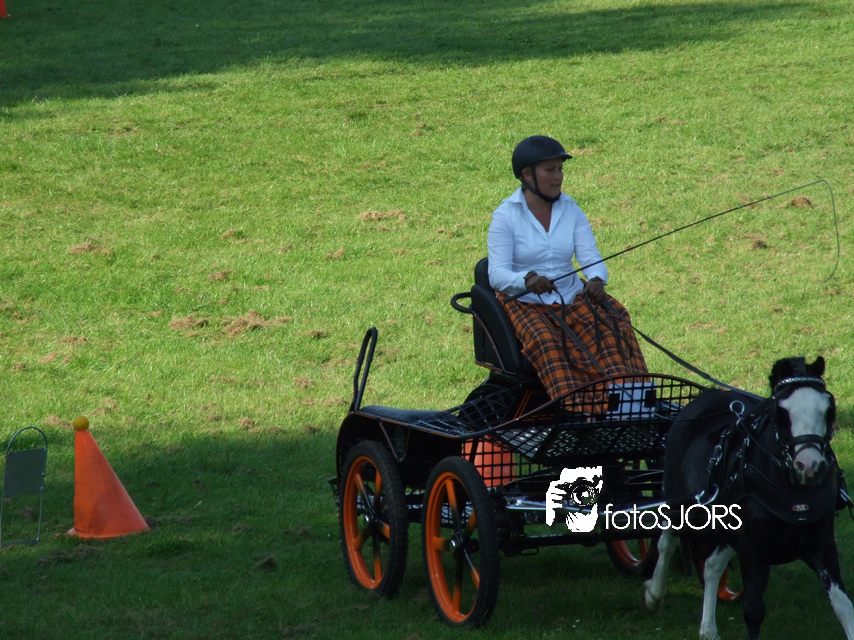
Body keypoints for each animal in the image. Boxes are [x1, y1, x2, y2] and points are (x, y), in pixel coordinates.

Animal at [642, 356, 854, 640]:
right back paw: (654, 595)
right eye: (780, 412)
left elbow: (844, 606)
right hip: (680, 504)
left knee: (711, 565)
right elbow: (753, 611)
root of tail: (705, 397)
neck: (793, 494)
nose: (810, 466)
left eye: (828, 409)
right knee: (668, 543)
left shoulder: (822, 547)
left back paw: (708, 629)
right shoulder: (753, 551)